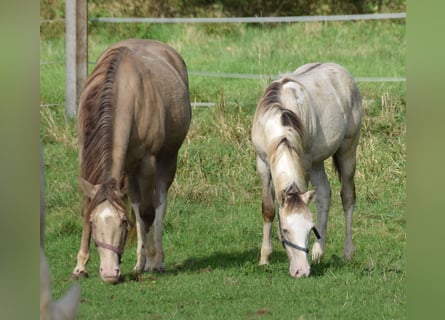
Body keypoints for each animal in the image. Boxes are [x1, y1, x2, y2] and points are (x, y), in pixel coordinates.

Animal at [71, 38, 191, 282]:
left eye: (122, 223)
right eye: (94, 223)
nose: (109, 273)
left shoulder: (148, 163)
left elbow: (147, 213)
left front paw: (153, 262)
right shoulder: (86, 159)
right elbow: (88, 207)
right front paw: (80, 266)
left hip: (166, 160)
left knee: (158, 205)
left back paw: (156, 260)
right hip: (129, 169)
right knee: (136, 204)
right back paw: (139, 262)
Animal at [250, 62, 360, 278]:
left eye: (310, 229)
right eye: (285, 230)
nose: (301, 270)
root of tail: (341, 70)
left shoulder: (304, 163)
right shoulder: (263, 163)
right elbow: (268, 209)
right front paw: (264, 258)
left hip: (347, 150)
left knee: (347, 197)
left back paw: (348, 252)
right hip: (317, 161)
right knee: (324, 194)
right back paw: (319, 252)